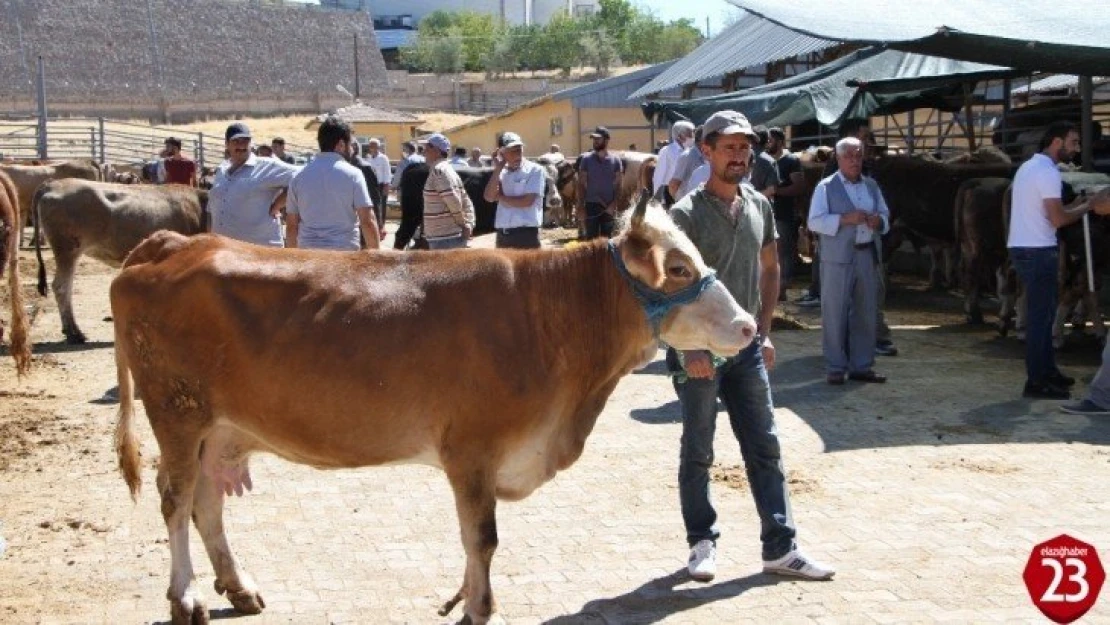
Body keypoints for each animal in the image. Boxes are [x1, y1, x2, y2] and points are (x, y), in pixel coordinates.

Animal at [110, 196, 754, 625]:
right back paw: (185, 598)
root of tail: (178, 243)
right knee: (175, 501)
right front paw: (479, 608)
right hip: (176, 413)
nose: (749, 325)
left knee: (206, 503)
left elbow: (474, 538)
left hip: (217, 428)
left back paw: (238, 587)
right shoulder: (471, 448)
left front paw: (467, 602)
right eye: (679, 268)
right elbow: (482, 538)